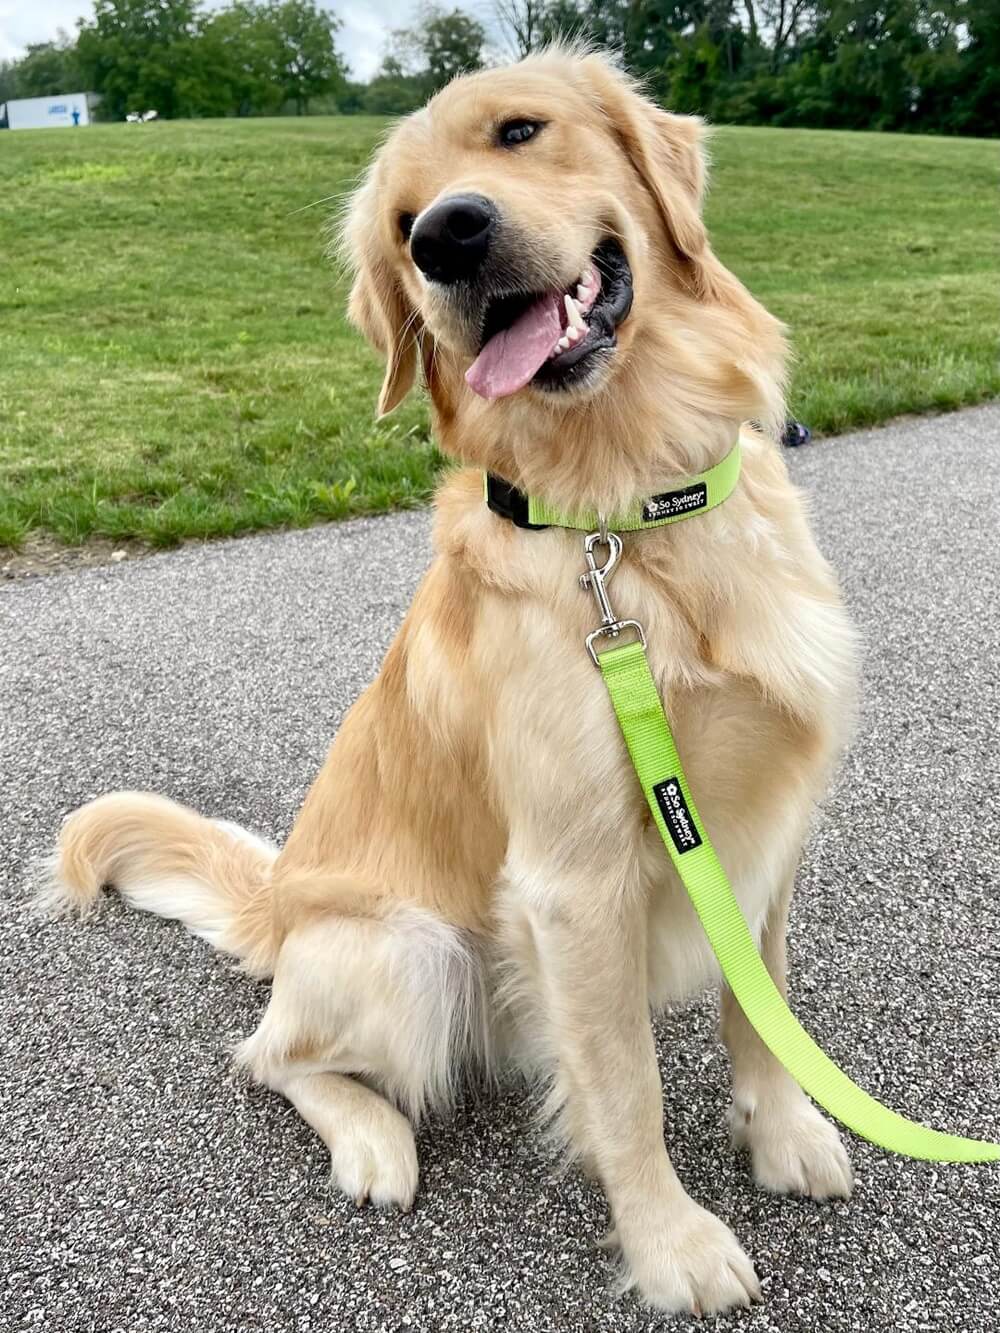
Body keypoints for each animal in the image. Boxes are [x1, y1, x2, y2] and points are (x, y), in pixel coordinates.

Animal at [43, 46, 864, 1317]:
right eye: (398, 224)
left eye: (519, 130)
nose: (447, 238)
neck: (628, 506)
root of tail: (278, 902)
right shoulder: (574, 878)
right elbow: (629, 1089)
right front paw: (670, 1245)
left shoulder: (766, 822)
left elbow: (760, 1003)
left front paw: (782, 1132)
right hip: (412, 949)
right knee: (267, 1055)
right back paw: (372, 1139)